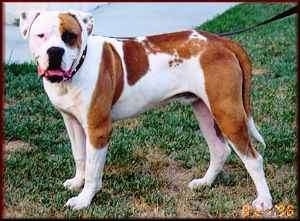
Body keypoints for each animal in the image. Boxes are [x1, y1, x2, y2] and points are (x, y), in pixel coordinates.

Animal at [18, 9, 272, 211]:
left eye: (69, 36)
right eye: (41, 35)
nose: (55, 52)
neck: (78, 67)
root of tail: (220, 41)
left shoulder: (98, 129)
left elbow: (93, 169)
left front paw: (84, 199)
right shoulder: (71, 121)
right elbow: (80, 156)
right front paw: (76, 183)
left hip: (227, 112)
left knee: (253, 159)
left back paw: (265, 201)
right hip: (204, 111)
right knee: (220, 150)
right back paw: (204, 183)